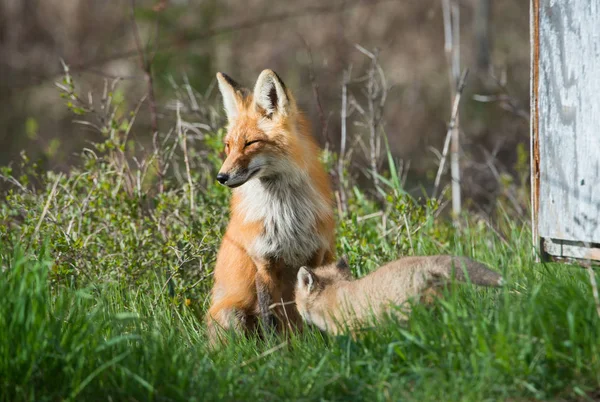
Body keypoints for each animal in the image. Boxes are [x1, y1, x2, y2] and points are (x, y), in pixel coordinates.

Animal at [206, 69, 336, 342]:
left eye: (250, 143)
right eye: (228, 145)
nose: (221, 177)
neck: (287, 217)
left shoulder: (316, 256)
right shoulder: (264, 262)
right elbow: (271, 318)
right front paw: (277, 350)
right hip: (233, 314)